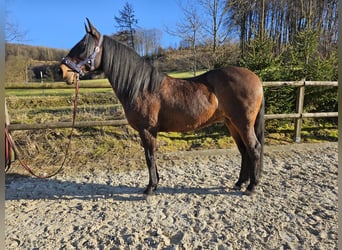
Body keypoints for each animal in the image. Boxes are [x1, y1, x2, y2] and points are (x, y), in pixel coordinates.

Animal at [60, 19, 264, 195]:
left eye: (83, 46)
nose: (63, 71)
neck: (141, 87)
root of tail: (256, 78)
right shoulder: (148, 131)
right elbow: (151, 156)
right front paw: (155, 184)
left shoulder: (147, 129)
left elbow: (149, 157)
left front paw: (150, 188)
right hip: (231, 123)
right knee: (244, 150)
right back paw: (240, 183)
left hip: (243, 123)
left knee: (254, 148)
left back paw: (251, 187)